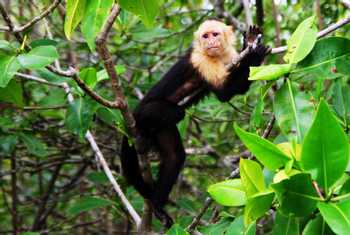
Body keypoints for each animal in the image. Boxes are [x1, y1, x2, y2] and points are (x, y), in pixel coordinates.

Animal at [119, 19, 268, 228]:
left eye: (215, 34)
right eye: (205, 36)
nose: (210, 42)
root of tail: (132, 114)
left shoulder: (230, 56)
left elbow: (233, 88)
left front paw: (250, 42)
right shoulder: (200, 60)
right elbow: (223, 92)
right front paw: (255, 53)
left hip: (162, 129)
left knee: (174, 156)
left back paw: (157, 204)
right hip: (145, 112)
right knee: (175, 113)